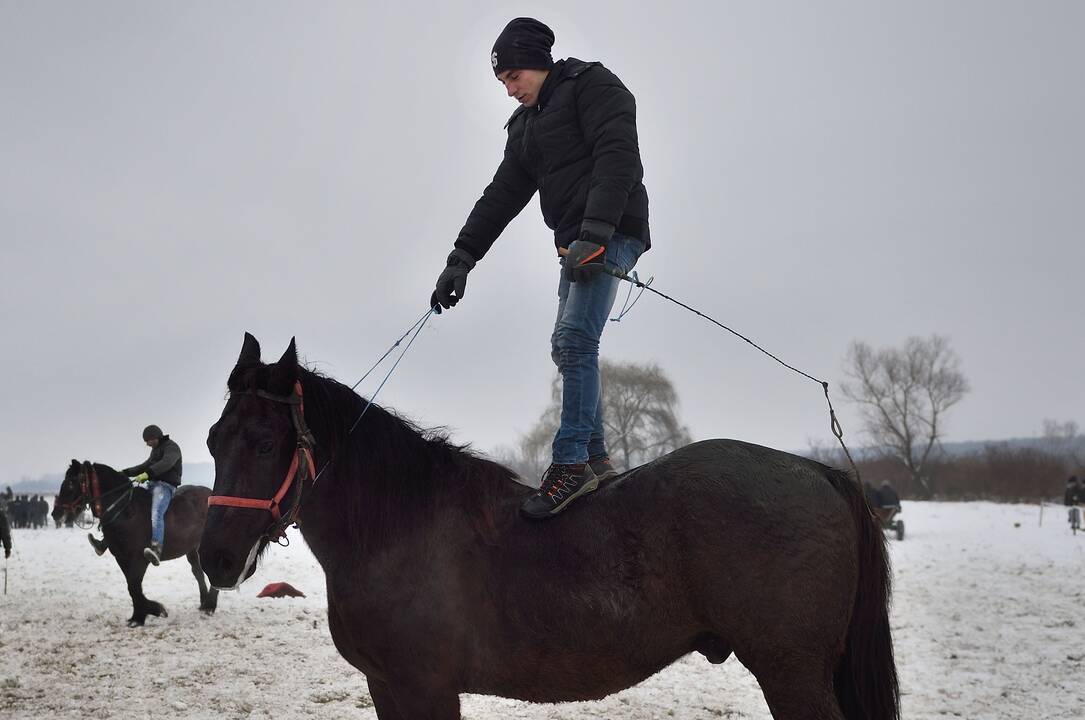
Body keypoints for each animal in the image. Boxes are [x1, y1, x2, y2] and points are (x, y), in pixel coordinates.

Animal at [55, 461, 218, 624]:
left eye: (71, 483)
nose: (56, 513)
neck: (126, 511)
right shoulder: (121, 557)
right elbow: (132, 587)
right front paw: (143, 614)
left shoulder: (139, 558)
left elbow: (134, 586)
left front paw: (146, 614)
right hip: (192, 549)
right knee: (198, 572)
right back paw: (205, 603)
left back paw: (210, 606)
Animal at [201, 336, 898, 720]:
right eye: (212, 439)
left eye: (266, 443)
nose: (215, 559)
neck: (398, 530)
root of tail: (817, 470)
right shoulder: (386, 687)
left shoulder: (425, 689)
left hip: (792, 674)